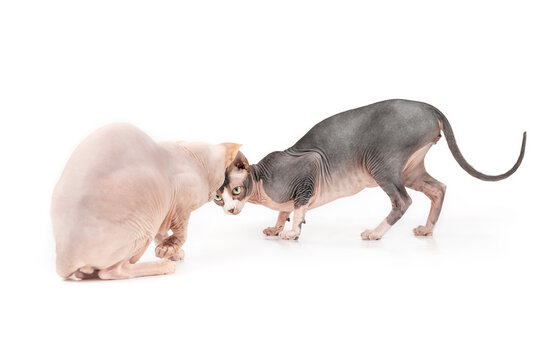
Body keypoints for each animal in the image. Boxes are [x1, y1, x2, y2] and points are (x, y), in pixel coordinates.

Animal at [52, 122, 242, 280]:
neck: (191, 157)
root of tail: (63, 260)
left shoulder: (164, 209)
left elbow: (162, 234)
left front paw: (170, 251)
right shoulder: (180, 207)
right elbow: (182, 233)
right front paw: (167, 251)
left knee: (90, 272)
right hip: (143, 226)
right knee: (110, 272)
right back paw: (163, 266)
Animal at [212, 99, 528, 239]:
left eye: (236, 190)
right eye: (217, 197)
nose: (228, 210)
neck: (261, 181)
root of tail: (428, 107)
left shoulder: (309, 168)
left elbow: (298, 208)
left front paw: (291, 232)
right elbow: (283, 210)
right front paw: (277, 227)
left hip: (381, 162)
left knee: (403, 200)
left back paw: (375, 233)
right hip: (410, 169)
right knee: (438, 188)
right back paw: (427, 229)